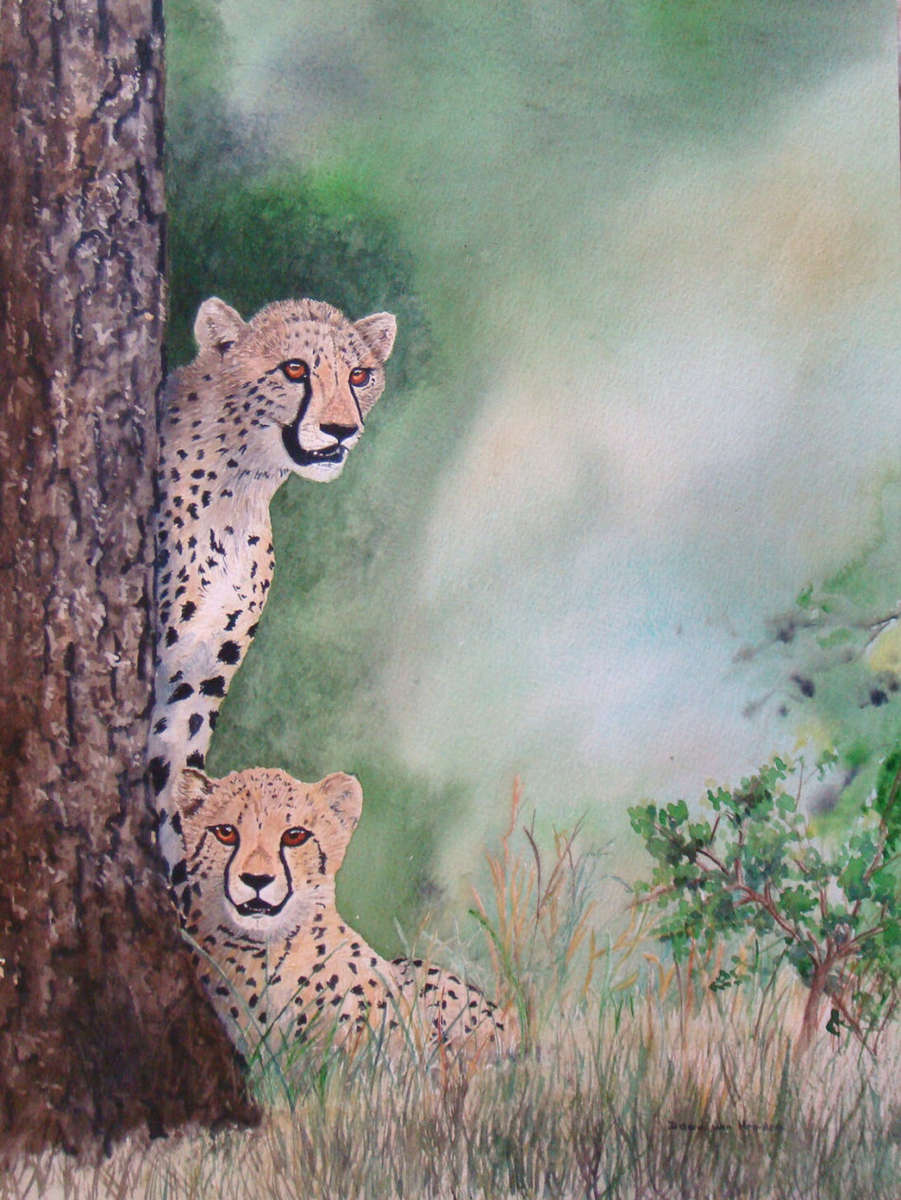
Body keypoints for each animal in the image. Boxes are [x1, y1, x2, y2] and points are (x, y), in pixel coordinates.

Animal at [148, 296, 396, 876]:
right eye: (295, 369)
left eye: (359, 375)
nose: (340, 430)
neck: (239, 490)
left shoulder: (194, 681)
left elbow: (174, 778)